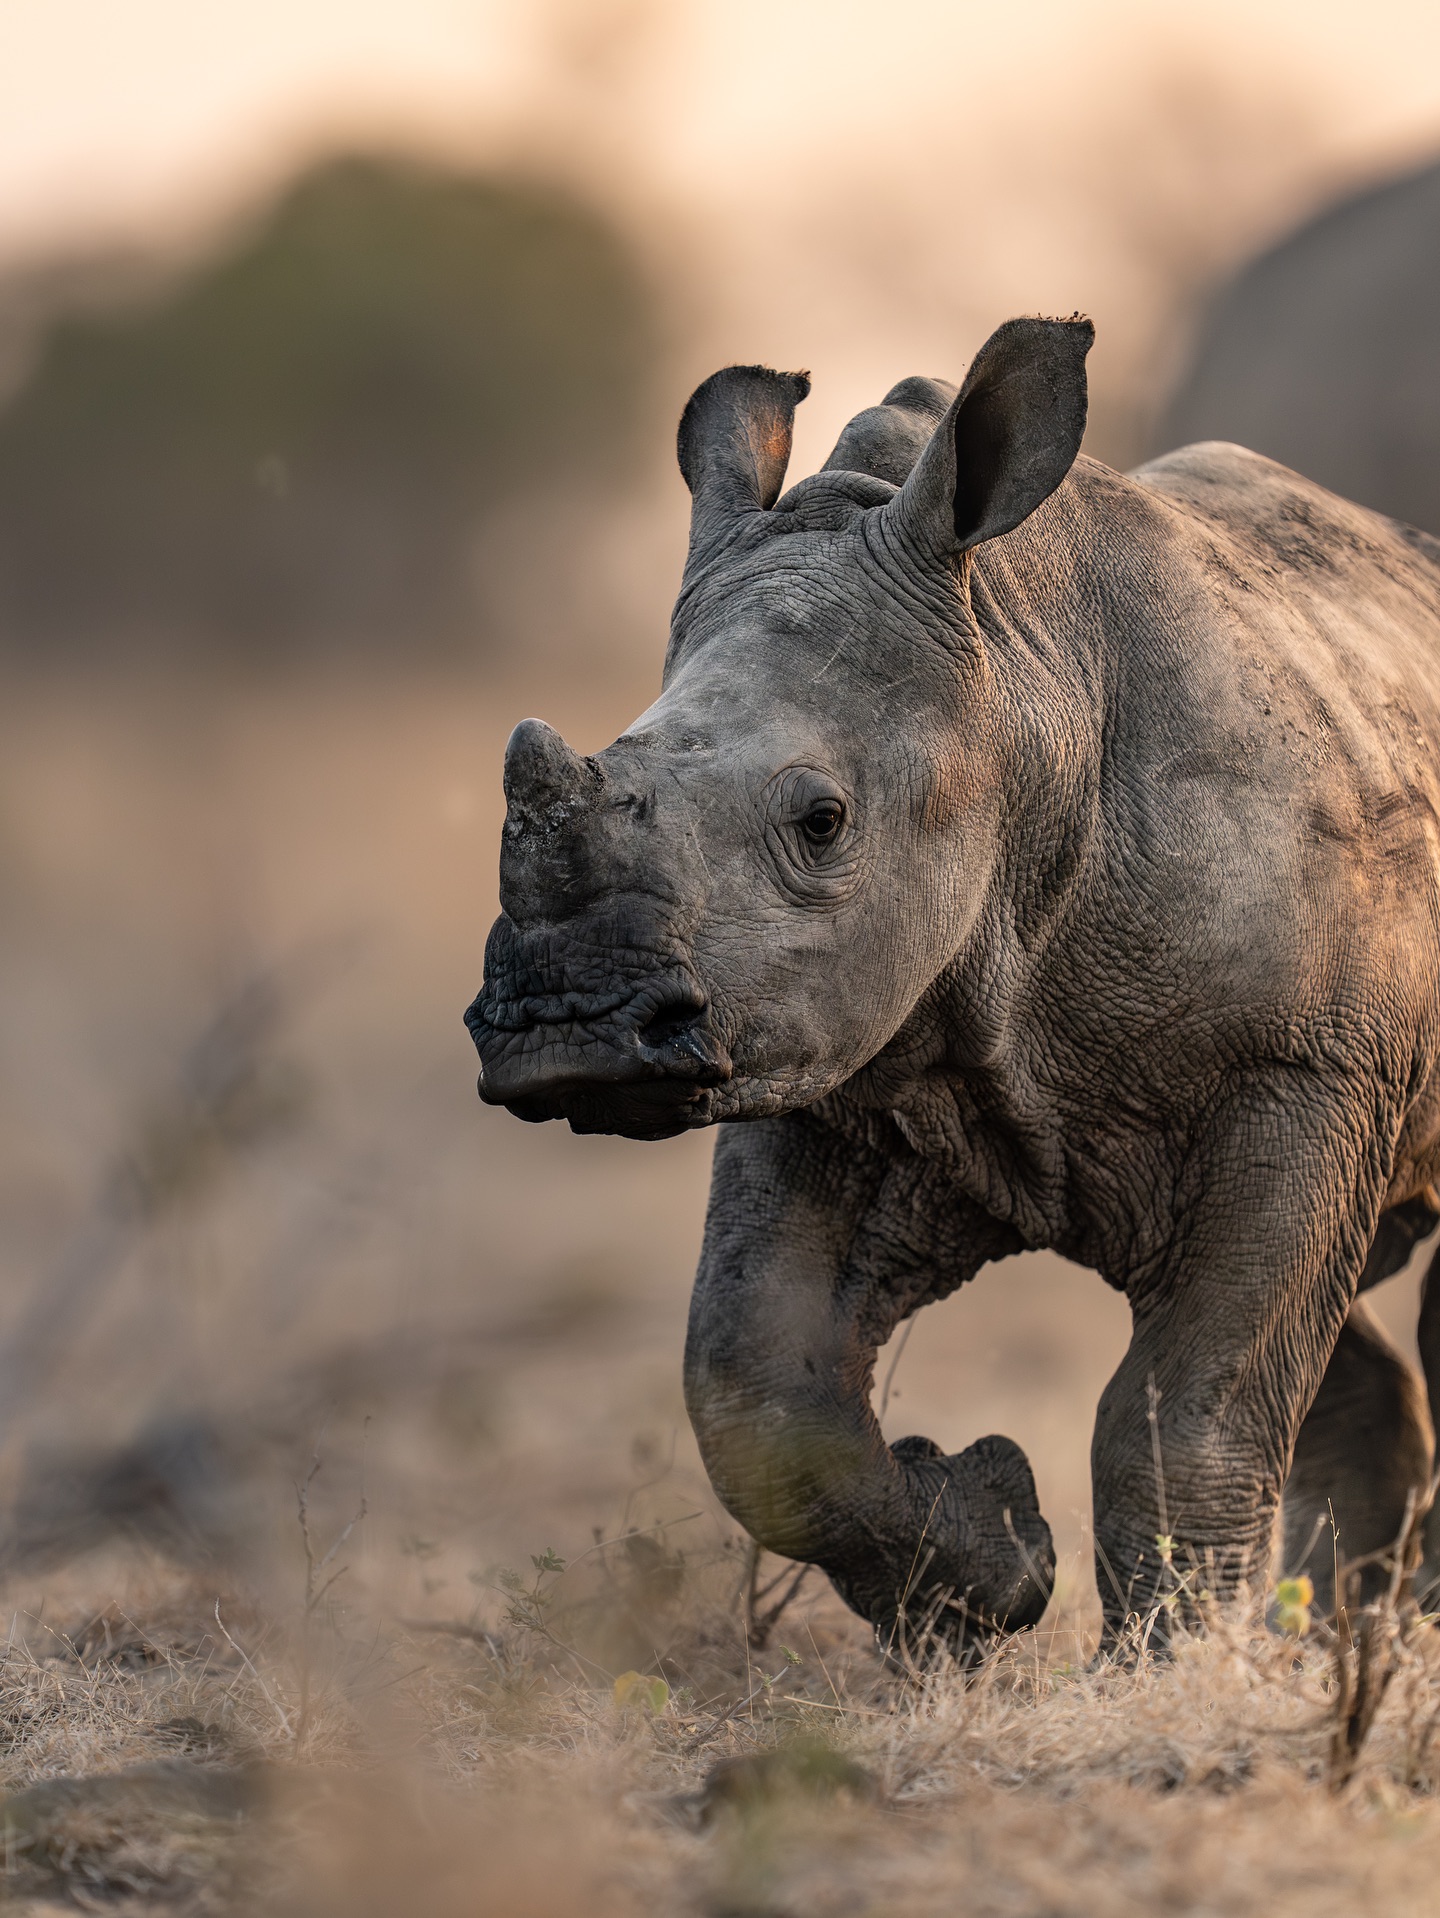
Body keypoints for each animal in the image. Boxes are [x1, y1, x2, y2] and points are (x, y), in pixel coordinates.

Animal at [466, 315, 1440, 1646]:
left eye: (821, 821)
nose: (565, 1028)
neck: (1021, 683)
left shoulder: (1308, 1062)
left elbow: (1195, 1409)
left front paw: (1169, 1669)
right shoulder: (825, 1040)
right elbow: (754, 1386)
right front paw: (1000, 1558)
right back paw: (1341, 1631)